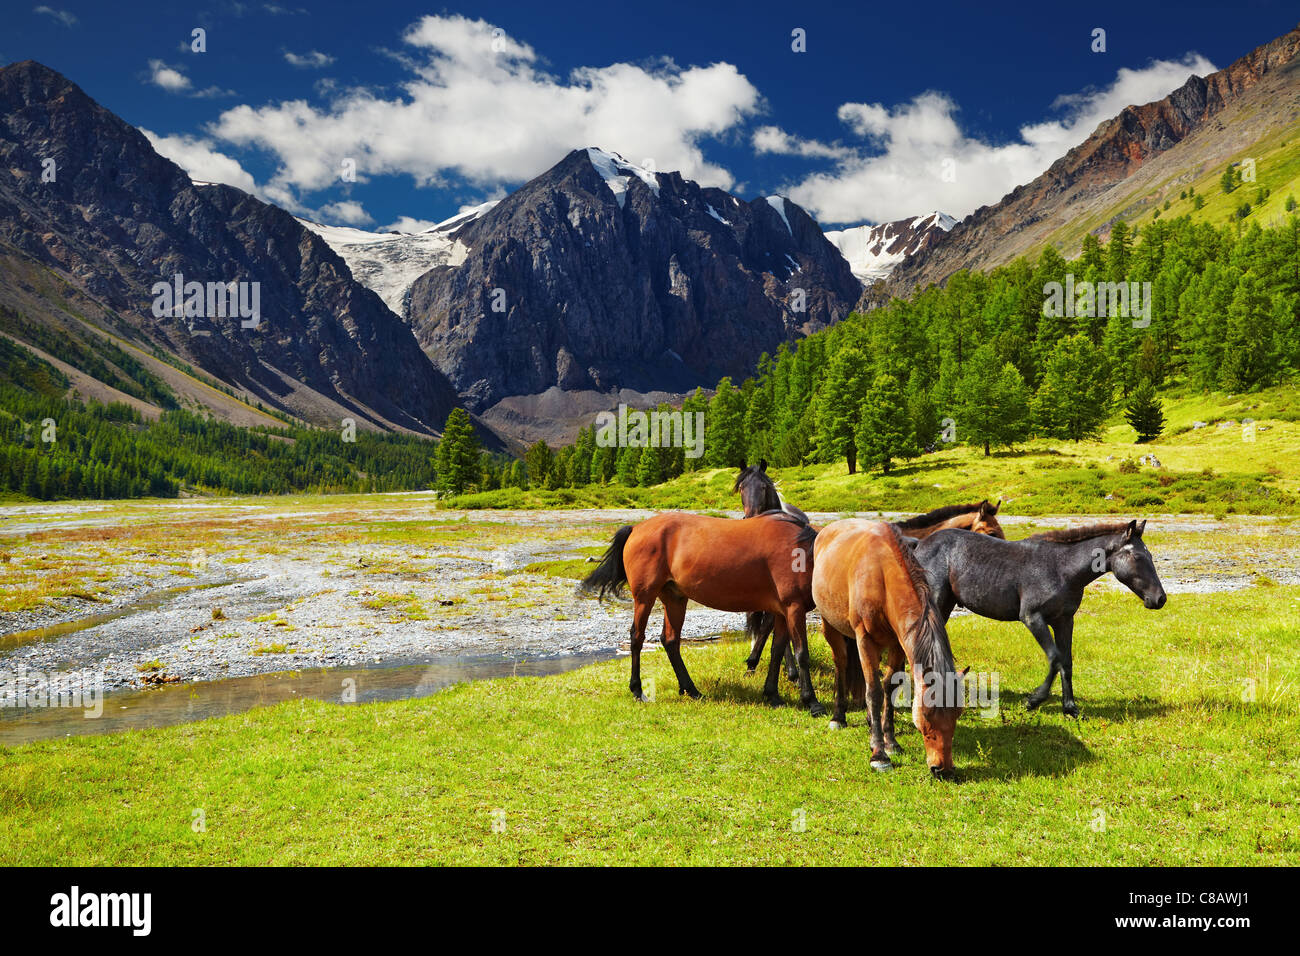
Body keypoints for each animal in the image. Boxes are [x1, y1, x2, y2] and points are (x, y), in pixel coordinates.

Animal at [579, 512, 821, 712]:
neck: (804, 553)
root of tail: (636, 528)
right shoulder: (794, 608)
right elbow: (801, 654)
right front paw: (812, 701)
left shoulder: (782, 612)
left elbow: (777, 651)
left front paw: (773, 695)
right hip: (644, 597)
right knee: (637, 638)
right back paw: (638, 690)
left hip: (675, 599)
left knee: (670, 641)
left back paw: (691, 690)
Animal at [811, 520, 967, 780]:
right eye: (926, 714)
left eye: (958, 713)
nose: (942, 768)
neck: (882, 577)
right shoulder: (865, 640)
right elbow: (873, 691)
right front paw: (879, 754)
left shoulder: (897, 644)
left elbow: (889, 688)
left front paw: (891, 742)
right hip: (829, 624)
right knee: (841, 662)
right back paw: (838, 717)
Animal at [915, 522, 1170, 717]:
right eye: (1137, 556)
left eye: (1149, 555)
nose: (1159, 598)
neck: (1061, 569)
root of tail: (919, 545)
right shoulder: (1033, 618)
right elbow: (1055, 658)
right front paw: (1034, 700)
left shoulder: (1064, 621)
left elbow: (1067, 661)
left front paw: (1070, 708)